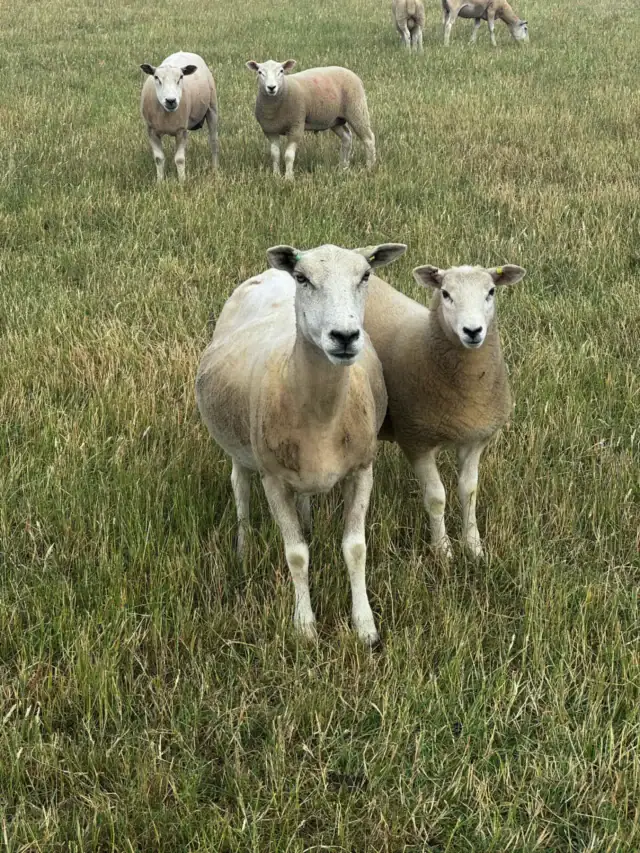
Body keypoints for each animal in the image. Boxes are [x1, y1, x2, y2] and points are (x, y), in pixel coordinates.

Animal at [140, 51, 218, 182]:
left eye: (181, 77)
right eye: (156, 77)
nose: (171, 101)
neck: (166, 113)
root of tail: (185, 52)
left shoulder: (181, 130)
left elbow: (180, 159)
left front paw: (182, 182)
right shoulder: (151, 130)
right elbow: (159, 158)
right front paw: (160, 182)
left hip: (212, 107)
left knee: (214, 141)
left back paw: (215, 168)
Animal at [196, 242, 407, 644]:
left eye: (365, 276)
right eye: (303, 278)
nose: (344, 336)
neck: (322, 416)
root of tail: (271, 274)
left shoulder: (362, 469)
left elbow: (355, 548)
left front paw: (365, 627)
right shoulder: (274, 479)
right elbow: (296, 555)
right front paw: (305, 627)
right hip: (240, 449)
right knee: (239, 488)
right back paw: (243, 550)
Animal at [245, 60, 376, 180]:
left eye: (281, 71)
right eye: (260, 72)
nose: (271, 87)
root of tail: (353, 74)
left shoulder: (296, 126)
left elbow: (289, 155)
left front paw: (288, 178)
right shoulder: (270, 130)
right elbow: (275, 154)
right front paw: (276, 176)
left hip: (357, 109)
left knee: (369, 139)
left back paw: (369, 167)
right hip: (335, 119)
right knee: (347, 137)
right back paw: (343, 167)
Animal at [364, 262, 526, 559]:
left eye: (491, 291)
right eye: (446, 293)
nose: (473, 331)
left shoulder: (475, 440)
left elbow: (469, 492)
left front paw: (474, 547)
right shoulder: (416, 441)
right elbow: (436, 497)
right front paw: (443, 551)